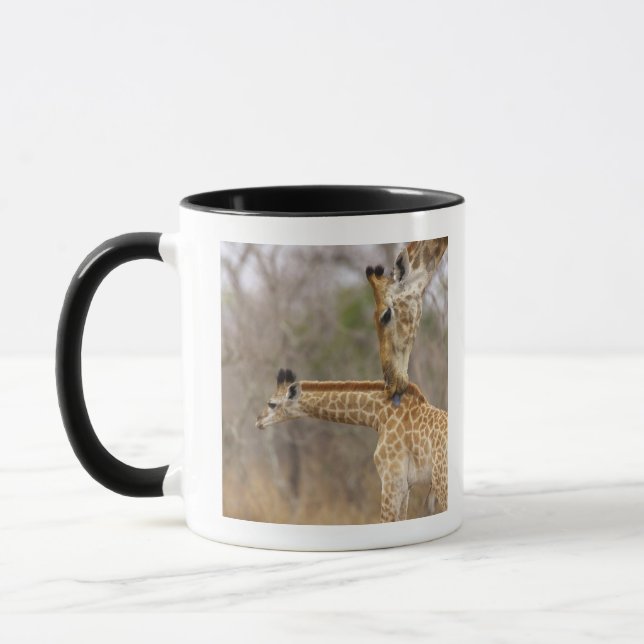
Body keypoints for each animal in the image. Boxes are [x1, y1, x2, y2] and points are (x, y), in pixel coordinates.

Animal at [256, 369, 448, 522]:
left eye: (271, 404)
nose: (258, 421)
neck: (379, 415)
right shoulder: (406, 485)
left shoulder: (392, 479)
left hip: (441, 482)